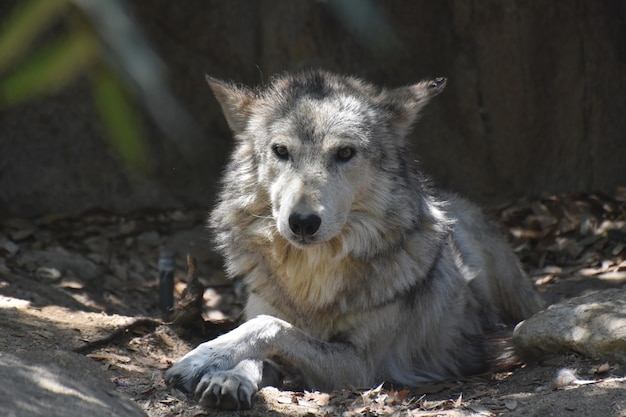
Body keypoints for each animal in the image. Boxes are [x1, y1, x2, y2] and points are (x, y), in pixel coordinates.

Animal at [165, 69, 540, 410]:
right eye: (281, 151)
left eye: (345, 153)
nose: (302, 222)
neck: (311, 284)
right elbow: (261, 341)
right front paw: (227, 376)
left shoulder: (362, 366)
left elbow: (269, 328)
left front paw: (203, 357)